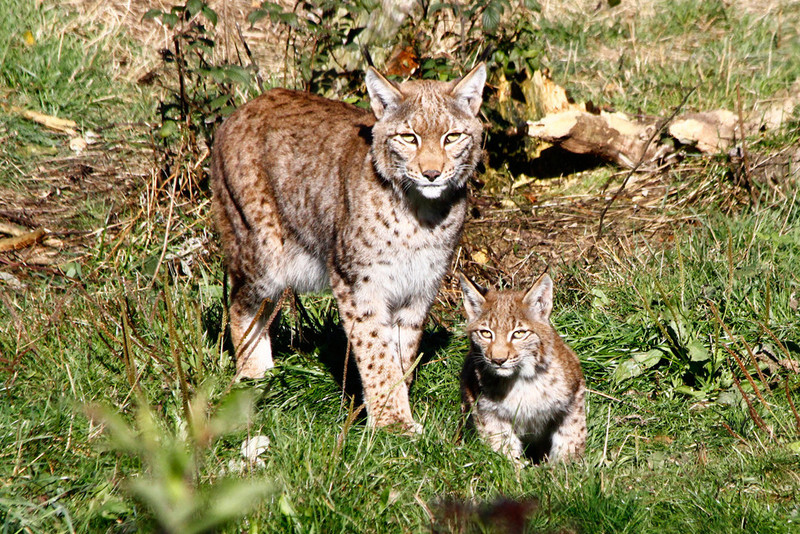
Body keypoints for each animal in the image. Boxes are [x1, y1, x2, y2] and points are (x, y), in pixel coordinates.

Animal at [212, 63, 484, 432]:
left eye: (452, 137)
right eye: (409, 138)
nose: (431, 174)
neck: (421, 214)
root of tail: (242, 109)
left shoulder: (420, 286)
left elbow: (402, 351)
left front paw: (397, 406)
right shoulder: (358, 283)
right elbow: (376, 352)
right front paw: (392, 422)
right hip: (264, 251)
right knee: (240, 303)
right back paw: (255, 377)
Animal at [460, 274, 584, 462]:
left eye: (518, 334)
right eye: (486, 333)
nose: (498, 360)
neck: (521, 378)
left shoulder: (575, 395)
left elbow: (571, 437)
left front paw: (565, 465)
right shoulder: (488, 412)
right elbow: (503, 446)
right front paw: (513, 468)